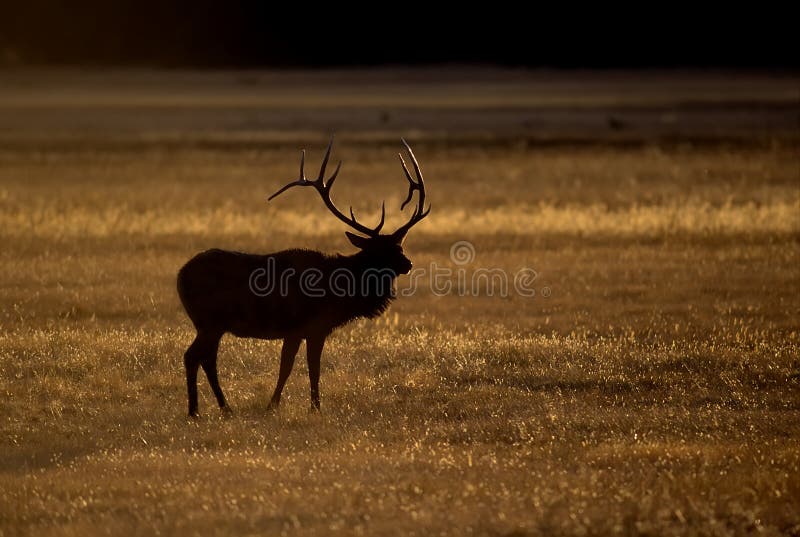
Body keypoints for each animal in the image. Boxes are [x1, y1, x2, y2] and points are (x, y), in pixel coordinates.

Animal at [177, 138, 430, 417]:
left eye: (399, 246)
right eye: (378, 250)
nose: (408, 263)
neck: (341, 292)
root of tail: (179, 276)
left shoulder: (301, 331)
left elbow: (293, 367)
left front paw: (283, 404)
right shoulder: (310, 326)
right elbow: (304, 368)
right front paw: (306, 407)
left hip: (213, 325)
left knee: (207, 358)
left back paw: (223, 407)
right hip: (210, 321)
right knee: (193, 356)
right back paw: (195, 410)